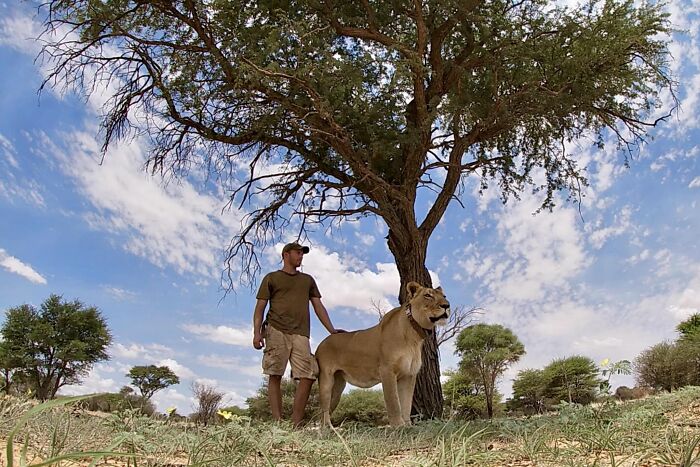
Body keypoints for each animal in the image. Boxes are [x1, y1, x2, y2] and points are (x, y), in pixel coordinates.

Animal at [315, 281, 450, 427]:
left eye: (444, 296)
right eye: (428, 295)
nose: (447, 305)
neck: (414, 336)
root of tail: (322, 342)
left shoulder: (409, 375)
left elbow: (406, 404)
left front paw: (408, 425)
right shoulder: (387, 370)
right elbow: (394, 402)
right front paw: (399, 426)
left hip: (338, 387)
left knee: (325, 410)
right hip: (326, 380)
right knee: (323, 408)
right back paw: (329, 428)